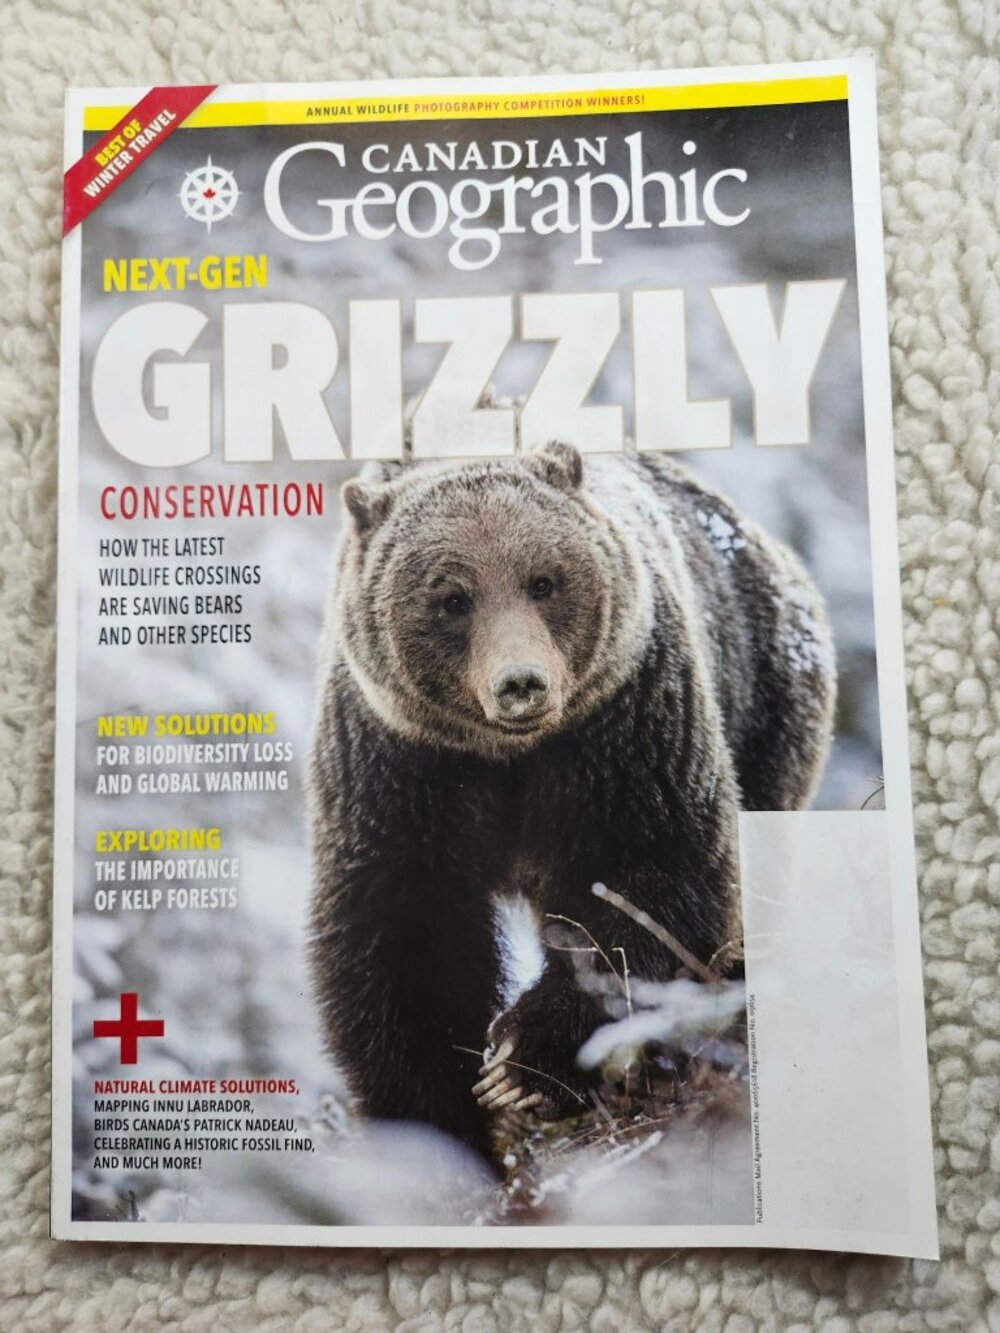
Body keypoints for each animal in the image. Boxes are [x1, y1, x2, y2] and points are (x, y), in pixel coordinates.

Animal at [308, 442, 836, 1166]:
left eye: (543, 580)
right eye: (451, 598)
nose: (521, 683)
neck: (509, 756)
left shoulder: (626, 723)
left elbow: (647, 875)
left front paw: (525, 1063)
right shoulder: (398, 759)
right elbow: (402, 932)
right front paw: (436, 1118)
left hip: (764, 698)